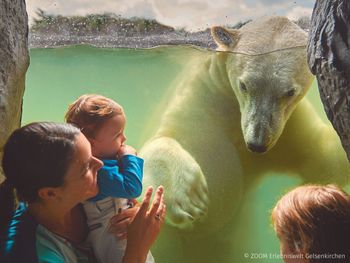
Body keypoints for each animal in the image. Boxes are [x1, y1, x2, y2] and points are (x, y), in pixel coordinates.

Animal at [139, 16, 350, 262]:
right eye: (244, 85)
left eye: (289, 92)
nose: (256, 143)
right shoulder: (200, 101)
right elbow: (165, 139)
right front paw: (188, 198)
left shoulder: (289, 127)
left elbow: (321, 160)